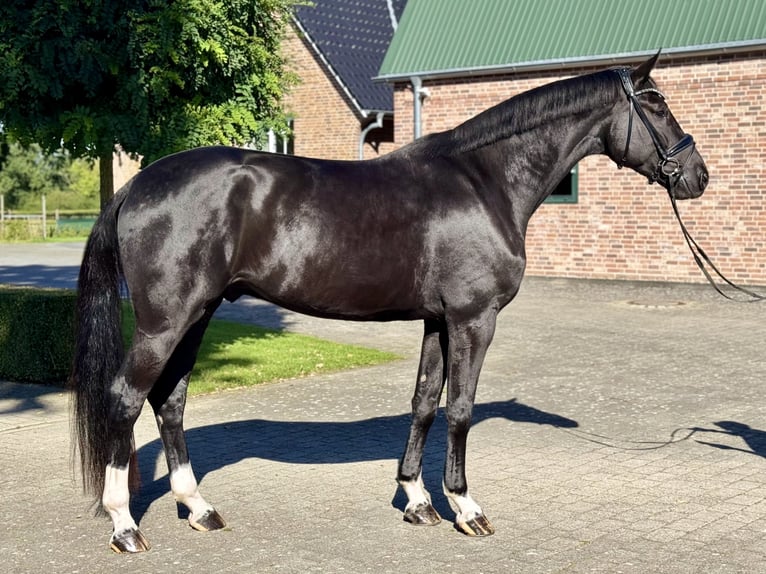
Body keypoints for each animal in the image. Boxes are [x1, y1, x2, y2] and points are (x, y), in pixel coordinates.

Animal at [70, 52, 708, 553]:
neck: (485, 181)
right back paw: (124, 526)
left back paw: (199, 508)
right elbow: (459, 410)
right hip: (165, 322)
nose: (697, 175)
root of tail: (137, 185)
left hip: (197, 315)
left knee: (170, 401)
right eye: (657, 104)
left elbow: (424, 403)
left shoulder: (437, 320)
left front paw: (417, 500)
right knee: (126, 399)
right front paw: (466, 508)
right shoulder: (473, 320)